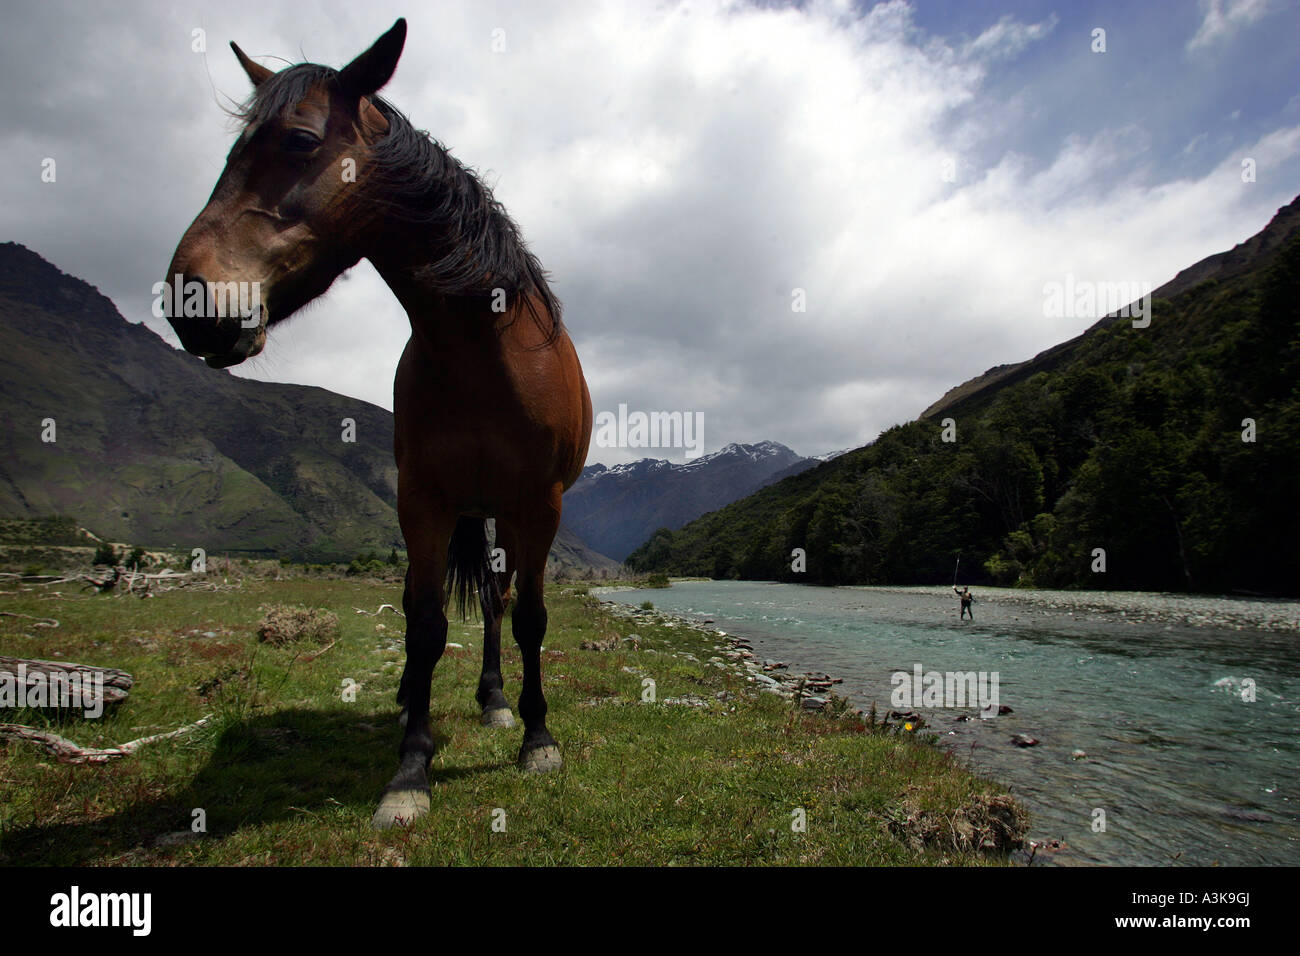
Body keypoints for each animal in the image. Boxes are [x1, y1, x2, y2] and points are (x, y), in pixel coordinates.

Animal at [163, 20, 595, 832]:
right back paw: (417, 702)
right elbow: (422, 621)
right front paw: (411, 769)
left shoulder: (540, 505)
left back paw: (497, 702)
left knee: (499, 605)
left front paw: (538, 737)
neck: (482, 355)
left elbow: (530, 617)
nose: (189, 303)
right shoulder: (420, 499)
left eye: (300, 140)